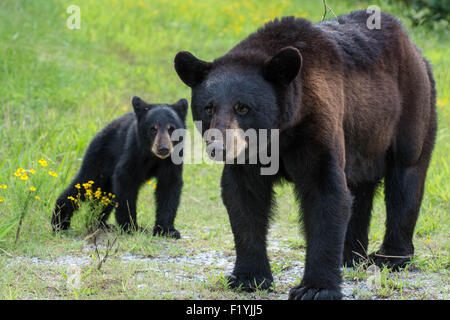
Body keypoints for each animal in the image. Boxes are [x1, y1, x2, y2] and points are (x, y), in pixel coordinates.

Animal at [51, 95, 187, 238]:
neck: (152, 156)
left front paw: (167, 230)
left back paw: (100, 223)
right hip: (100, 158)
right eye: (153, 128)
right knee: (83, 184)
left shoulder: (172, 160)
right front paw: (130, 226)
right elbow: (125, 182)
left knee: (104, 196)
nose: (163, 148)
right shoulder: (133, 153)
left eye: (171, 128)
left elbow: (169, 188)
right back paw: (60, 223)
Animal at [175, 10, 436, 300]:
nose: (218, 147)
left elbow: (325, 191)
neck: (279, 132)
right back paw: (350, 254)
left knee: (405, 179)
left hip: (410, 111)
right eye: (208, 108)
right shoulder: (250, 155)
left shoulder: (316, 123)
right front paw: (249, 277)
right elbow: (244, 197)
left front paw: (315, 288)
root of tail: (415, 50)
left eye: (242, 107)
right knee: (360, 190)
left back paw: (390, 257)